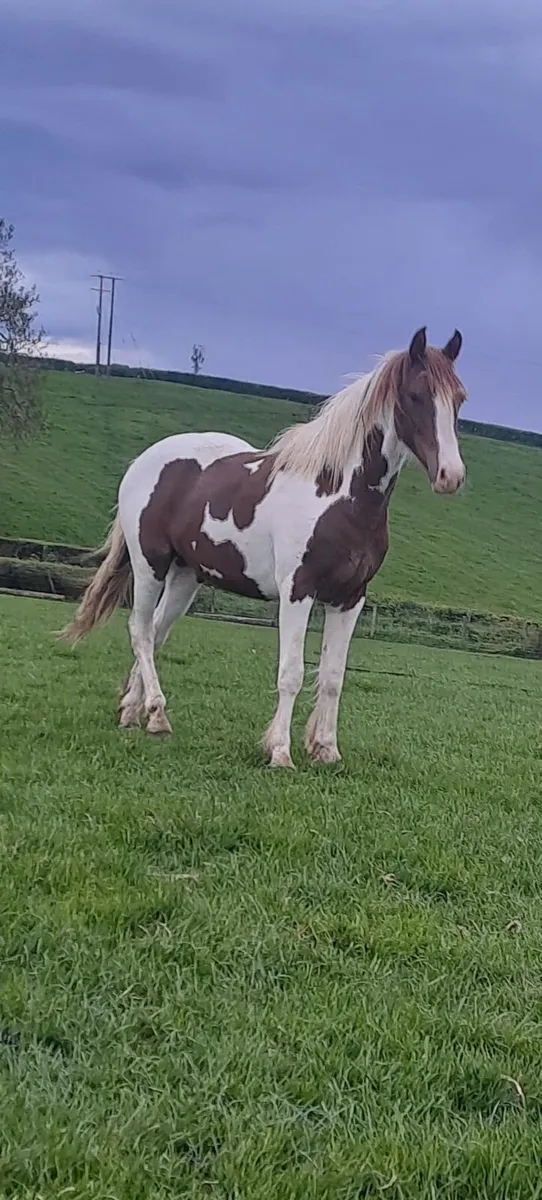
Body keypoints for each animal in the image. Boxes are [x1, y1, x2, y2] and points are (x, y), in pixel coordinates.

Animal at [59, 326, 467, 768]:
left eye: (459, 399)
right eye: (416, 395)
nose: (451, 476)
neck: (338, 494)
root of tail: (144, 461)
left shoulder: (350, 598)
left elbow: (333, 677)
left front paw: (326, 750)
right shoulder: (298, 591)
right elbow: (291, 673)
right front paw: (280, 751)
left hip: (186, 576)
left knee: (156, 632)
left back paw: (139, 715)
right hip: (149, 564)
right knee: (140, 631)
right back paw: (157, 712)